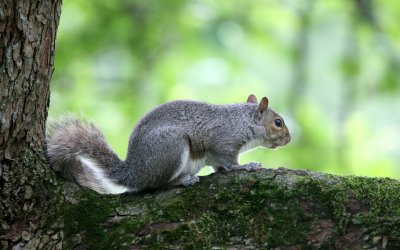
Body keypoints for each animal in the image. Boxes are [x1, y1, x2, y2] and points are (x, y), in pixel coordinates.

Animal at [46, 94, 290, 194]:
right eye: (278, 122)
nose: (289, 139)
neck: (243, 122)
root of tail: (134, 172)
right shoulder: (223, 141)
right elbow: (230, 162)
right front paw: (247, 166)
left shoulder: (215, 156)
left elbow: (219, 166)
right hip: (172, 147)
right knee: (156, 185)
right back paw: (182, 181)